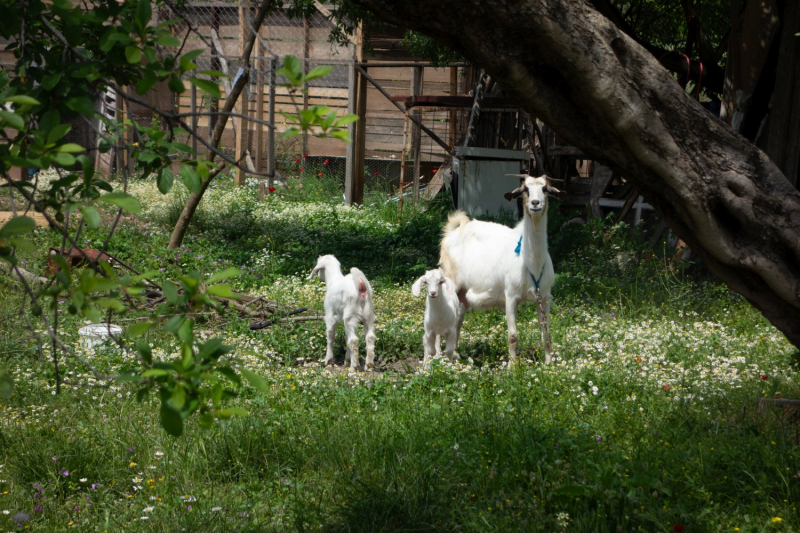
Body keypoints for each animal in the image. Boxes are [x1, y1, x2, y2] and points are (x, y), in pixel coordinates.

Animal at [438, 175, 556, 362]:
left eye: (545, 189)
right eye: (525, 189)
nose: (535, 203)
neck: (532, 263)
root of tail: (453, 232)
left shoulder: (544, 297)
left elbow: (546, 334)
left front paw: (549, 364)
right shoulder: (511, 295)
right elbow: (513, 336)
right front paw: (513, 366)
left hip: (463, 292)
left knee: (457, 320)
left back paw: (454, 354)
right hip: (450, 281)